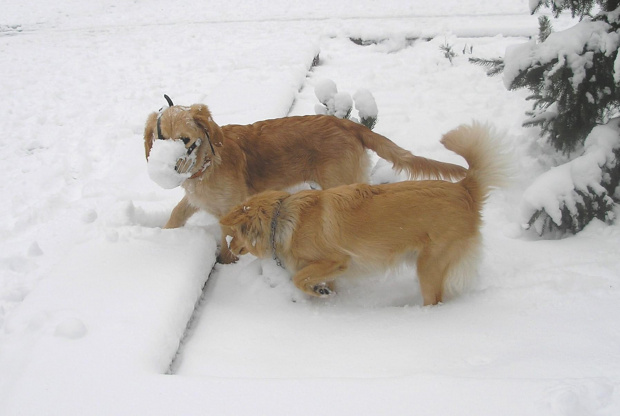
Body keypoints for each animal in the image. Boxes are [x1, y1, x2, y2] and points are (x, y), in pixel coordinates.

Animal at [145, 97, 464, 264]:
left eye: (185, 140)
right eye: (160, 137)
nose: (167, 170)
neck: (207, 164)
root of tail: (346, 124)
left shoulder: (232, 206)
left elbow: (226, 236)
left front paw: (226, 261)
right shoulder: (196, 200)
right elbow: (176, 213)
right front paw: (165, 236)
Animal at [220, 122, 506, 304]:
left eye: (233, 233)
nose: (229, 250)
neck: (280, 219)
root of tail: (464, 189)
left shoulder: (337, 260)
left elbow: (300, 279)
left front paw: (318, 293)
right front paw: (322, 293)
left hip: (430, 265)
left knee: (434, 299)